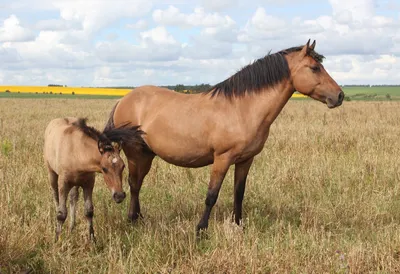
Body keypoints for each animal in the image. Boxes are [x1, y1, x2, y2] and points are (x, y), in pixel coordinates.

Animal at [104, 39, 346, 234]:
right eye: (315, 68)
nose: (340, 96)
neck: (242, 108)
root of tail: (123, 99)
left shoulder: (246, 160)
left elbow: (239, 193)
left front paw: (238, 225)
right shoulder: (222, 158)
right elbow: (212, 195)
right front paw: (201, 230)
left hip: (147, 154)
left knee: (137, 184)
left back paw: (138, 218)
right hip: (136, 154)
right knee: (134, 184)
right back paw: (132, 220)